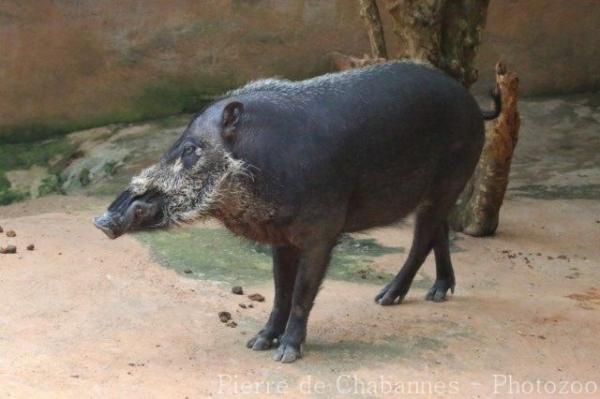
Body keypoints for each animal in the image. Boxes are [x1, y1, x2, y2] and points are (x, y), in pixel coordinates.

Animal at [95, 61, 502, 364]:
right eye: (176, 145)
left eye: (191, 150)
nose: (101, 220)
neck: (258, 166)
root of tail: (474, 104)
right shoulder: (280, 237)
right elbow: (279, 291)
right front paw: (257, 344)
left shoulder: (322, 233)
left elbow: (303, 292)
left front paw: (286, 355)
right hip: (440, 190)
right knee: (439, 230)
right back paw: (436, 293)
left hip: (451, 176)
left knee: (422, 238)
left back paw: (386, 298)